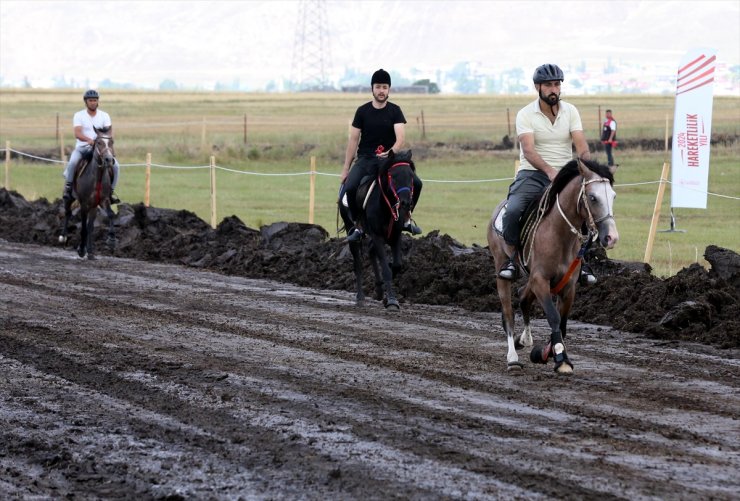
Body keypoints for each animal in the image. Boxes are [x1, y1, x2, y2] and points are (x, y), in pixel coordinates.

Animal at [59, 127, 117, 260]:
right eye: (99, 142)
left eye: (111, 142)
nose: (109, 159)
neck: (97, 177)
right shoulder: (84, 204)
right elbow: (83, 228)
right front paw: (81, 250)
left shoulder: (103, 200)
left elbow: (110, 215)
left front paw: (111, 240)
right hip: (69, 198)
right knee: (68, 213)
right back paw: (63, 236)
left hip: (93, 206)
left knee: (90, 226)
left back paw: (90, 251)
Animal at [486, 158, 620, 374]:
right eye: (592, 197)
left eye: (613, 196)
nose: (611, 237)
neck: (559, 234)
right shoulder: (540, 280)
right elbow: (554, 317)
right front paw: (561, 358)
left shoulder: (568, 286)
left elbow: (563, 324)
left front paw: (548, 352)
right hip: (501, 268)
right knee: (508, 313)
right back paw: (513, 358)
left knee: (523, 297)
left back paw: (524, 340)